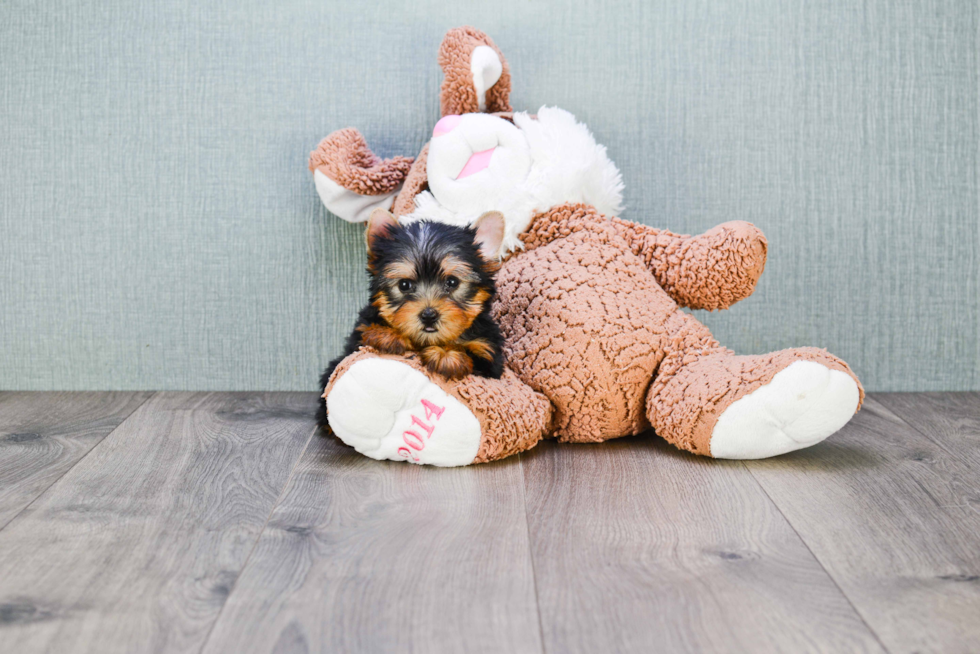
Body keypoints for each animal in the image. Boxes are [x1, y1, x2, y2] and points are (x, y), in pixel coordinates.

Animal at [318, 208, 506, 428]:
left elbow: (474, 356)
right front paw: (388, 335)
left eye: (452, 282)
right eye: (404, 285)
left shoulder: (489, 353)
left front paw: (445, 354)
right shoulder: (358, 336)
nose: (428, 315)